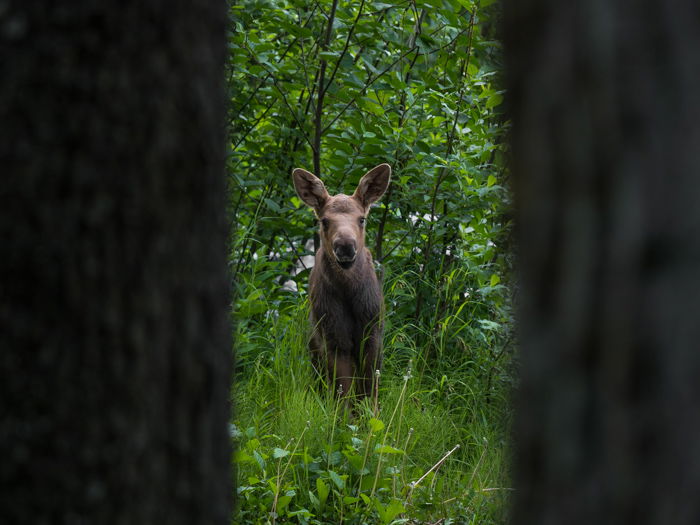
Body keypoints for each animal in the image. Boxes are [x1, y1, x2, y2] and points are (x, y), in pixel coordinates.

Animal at [292, 164, 394, 402]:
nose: (345, 246)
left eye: (362, 219)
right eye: (324, 220)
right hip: (315, 341)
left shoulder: (373, 333)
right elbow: (343, 392)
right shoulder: (333, 337)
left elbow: (369, 390)